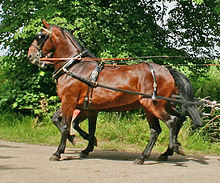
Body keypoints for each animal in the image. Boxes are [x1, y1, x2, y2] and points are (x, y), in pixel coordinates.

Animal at [26, 19, 202, 164]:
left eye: (40, 36)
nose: (30, 55)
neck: (75, 67)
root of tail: (167, 70)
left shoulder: (69, 101)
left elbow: (64, 125)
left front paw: (58, 152)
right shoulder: (87, 107)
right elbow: (76, 124)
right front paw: (87, 145)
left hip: (153, 105)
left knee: (170, 123)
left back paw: (158, 152)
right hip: (159, 105)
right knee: (171, 123)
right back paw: (164, 152)